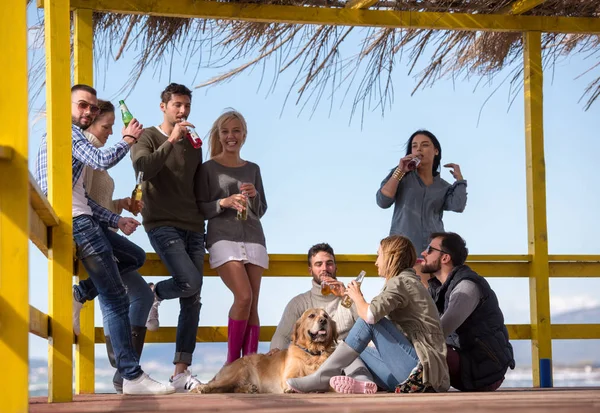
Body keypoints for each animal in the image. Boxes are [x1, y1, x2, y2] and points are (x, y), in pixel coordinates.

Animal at [192, 308, 338, 394]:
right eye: (311, 316)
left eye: (326, 316)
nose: (323, 320)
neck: (313, 353)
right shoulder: (289, 375)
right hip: (238, 371)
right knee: (216, 385)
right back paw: (202, 388)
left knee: (230, 388)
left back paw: (248, 388)